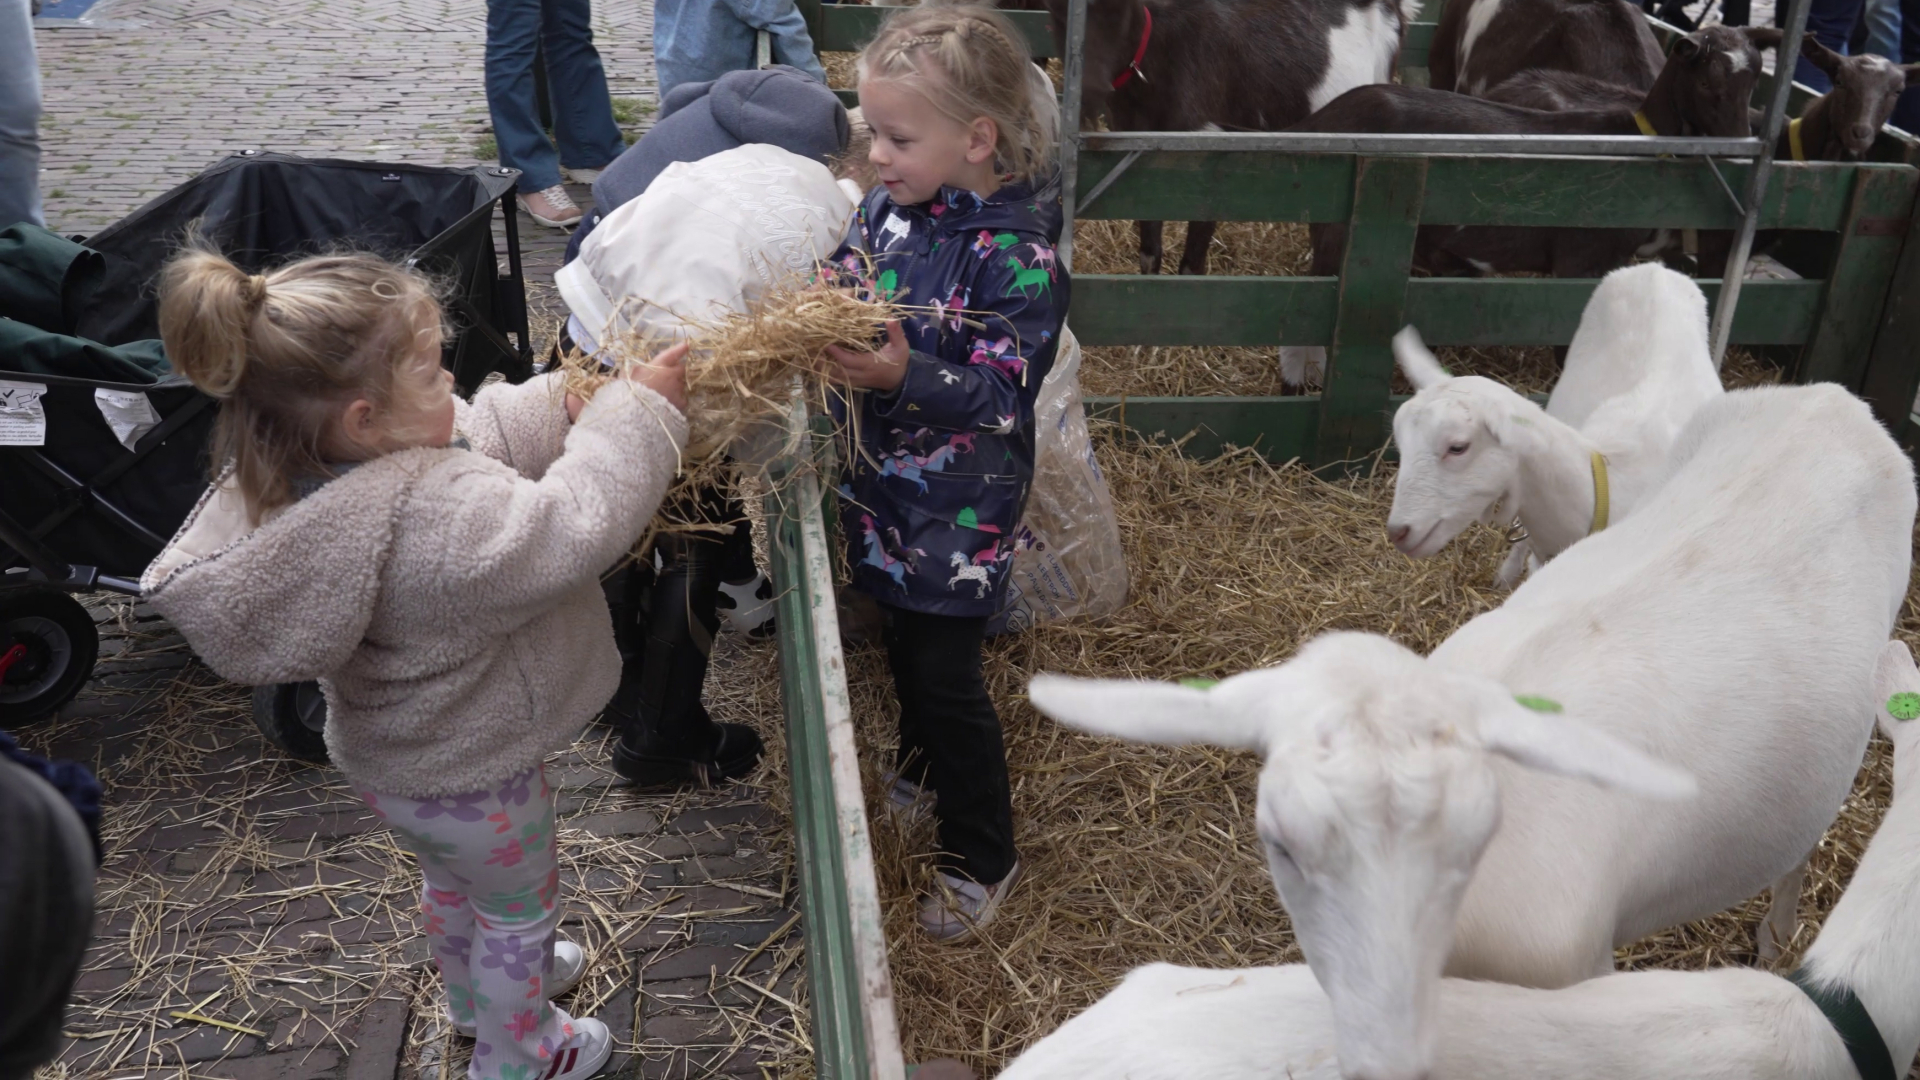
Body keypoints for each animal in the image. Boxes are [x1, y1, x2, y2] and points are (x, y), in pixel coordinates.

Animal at [1044, 0, 1420, 272]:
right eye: (1058, 14)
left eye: (1120, 11)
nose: (1091, 90)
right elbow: (1149, 250)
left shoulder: (1214, 164)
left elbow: (1193, 258)